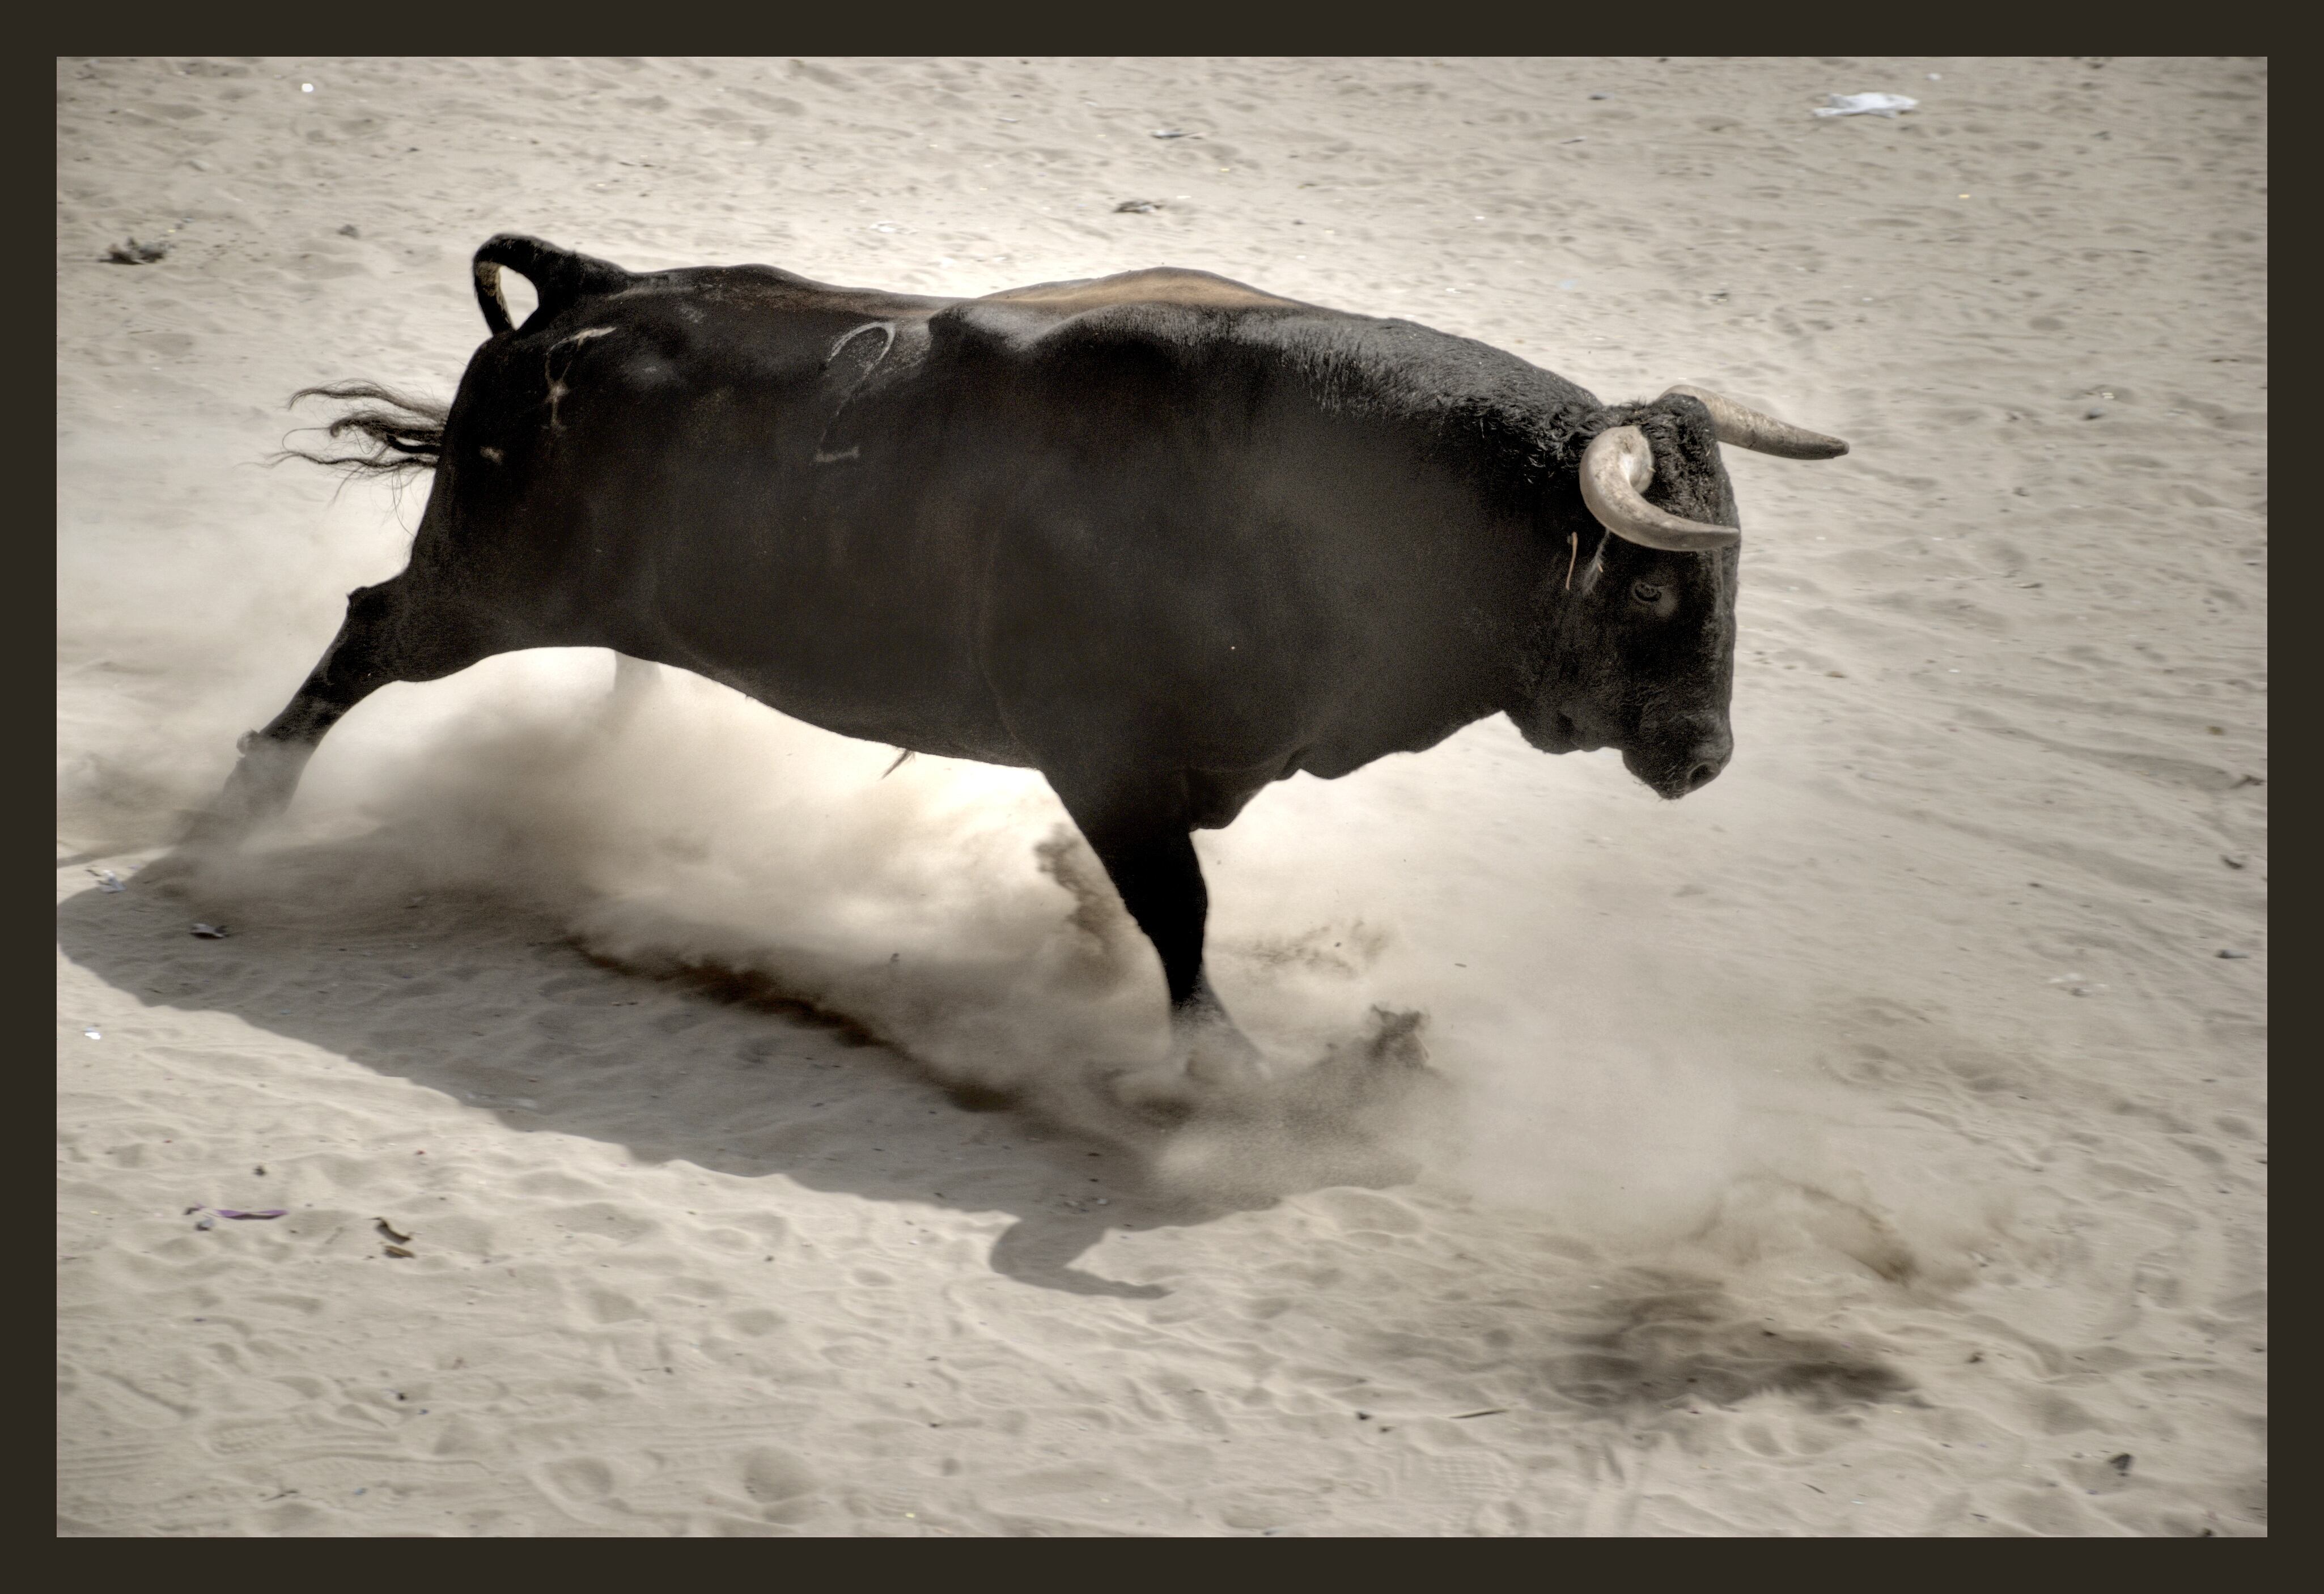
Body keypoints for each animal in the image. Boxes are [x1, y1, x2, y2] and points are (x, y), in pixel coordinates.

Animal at [200, 235, 1840, 1087]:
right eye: (1653, 584)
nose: (1701, 755)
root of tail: (583, 295)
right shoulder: (1104, 760)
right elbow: (1179, 920)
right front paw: (1232, 1076)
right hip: (478, 586)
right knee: (365, 631)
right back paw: (237, 817)